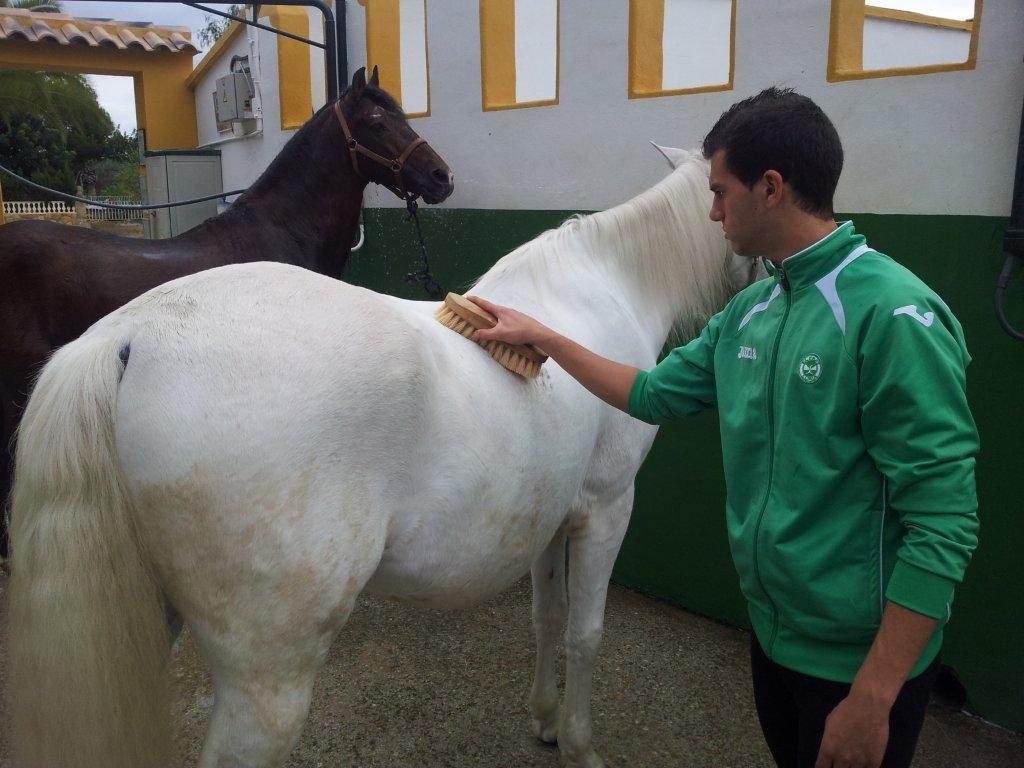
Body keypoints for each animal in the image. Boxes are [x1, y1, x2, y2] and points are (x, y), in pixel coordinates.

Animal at [7, 145, 758, 768]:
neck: (597, 292)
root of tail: (131, 335)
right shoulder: (605, 507)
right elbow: (585, 631)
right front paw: (577, 745)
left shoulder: (551, 515)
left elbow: (547, 619)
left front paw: (545, 720)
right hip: (266, 680)